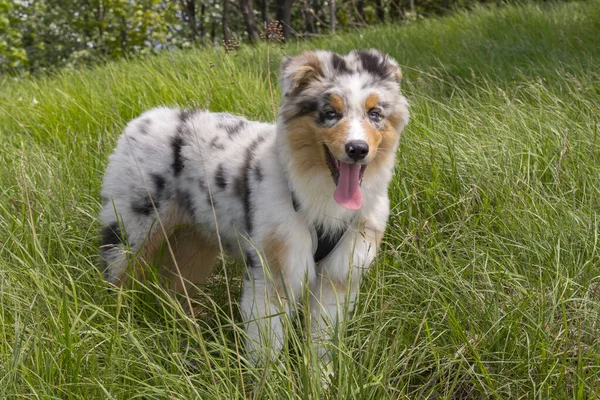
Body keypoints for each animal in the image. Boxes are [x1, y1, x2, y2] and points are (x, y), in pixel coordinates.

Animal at [99, 49, 408, 362]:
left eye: (375, 114)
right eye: (330, 113)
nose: (357, 149)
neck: (317, 194)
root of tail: (143, 118)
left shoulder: (339, 276)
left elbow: (322, 345)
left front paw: (321, 374)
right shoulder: (272, 273)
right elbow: (267, 350)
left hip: (192, 245)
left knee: (173, 288)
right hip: (132, 233)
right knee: (116, 282)